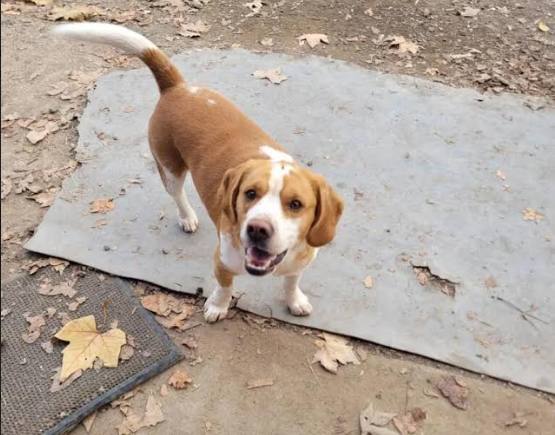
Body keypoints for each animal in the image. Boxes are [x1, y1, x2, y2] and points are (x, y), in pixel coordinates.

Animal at [55, 24, 344, 324]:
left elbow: (291, 282)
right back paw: (187, 217)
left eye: (296, 204)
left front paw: (294, 300)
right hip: (170, 168)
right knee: (177, 193)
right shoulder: (223, 260)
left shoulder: (300, 263)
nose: (257, 229)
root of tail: (179, 88)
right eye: (250, 193)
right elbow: (224, 287)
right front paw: (217, 306)